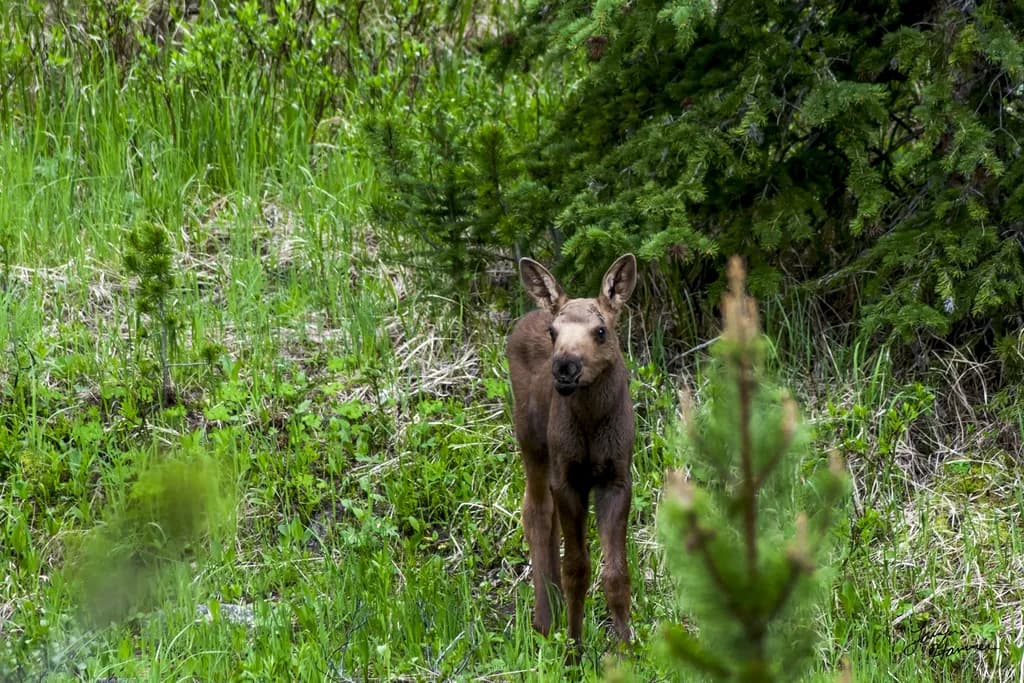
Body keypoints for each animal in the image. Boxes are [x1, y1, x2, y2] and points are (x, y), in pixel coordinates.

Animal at [507, 253, 637, 652]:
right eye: (554, 333)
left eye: (601, 331)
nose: (565, 366)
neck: (592, 426)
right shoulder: (568, 479)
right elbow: (577, 569)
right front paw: (574, 649)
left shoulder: (617, 478)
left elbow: (616, 573)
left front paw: (626, 648)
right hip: (531, 441)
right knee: (535, 510)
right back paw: (546, 619)